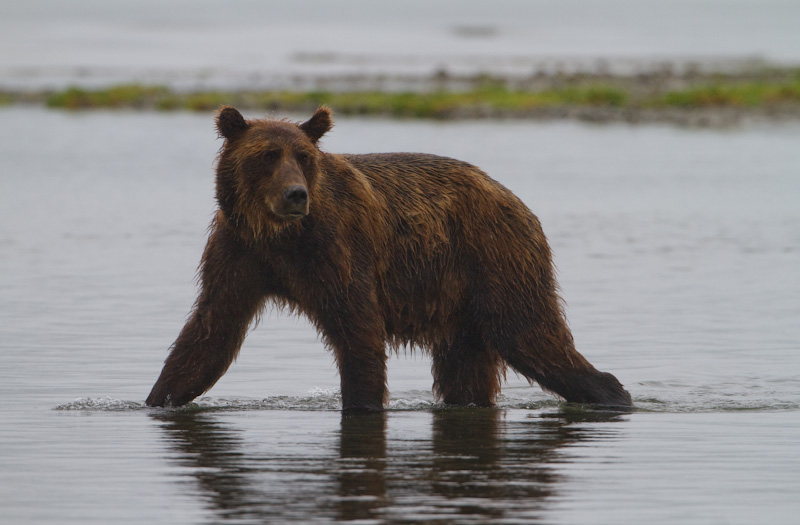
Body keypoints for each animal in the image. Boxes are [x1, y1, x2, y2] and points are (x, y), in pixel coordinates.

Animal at [144, 106, 632, 410]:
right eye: (267, 155)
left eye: (303, 155)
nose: (295, 194)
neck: (280, 236)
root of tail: (514, 198)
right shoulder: (239, 253)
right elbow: (210, 333)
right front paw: (155, 398)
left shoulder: (337, 248)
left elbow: (358, 328)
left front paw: (361, 404)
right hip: (459, 300)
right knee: (466, 369)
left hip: (496, 257)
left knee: (531, 332)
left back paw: (612, 393)